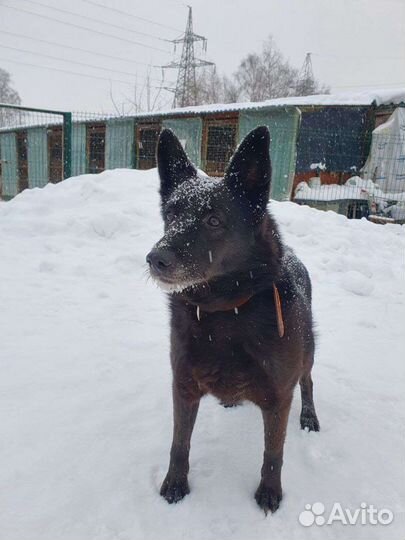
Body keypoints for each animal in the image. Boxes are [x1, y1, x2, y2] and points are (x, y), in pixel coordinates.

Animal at [146, 127, 318, 516]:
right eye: (171, 213)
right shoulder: (183, 385)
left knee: (308, 382)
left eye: (213, 220)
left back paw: (309, 417)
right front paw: (175, 484)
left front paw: (270, 492)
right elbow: (179, 443)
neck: (224, 312)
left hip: (308, 356)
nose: (155, 259)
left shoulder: (279, 396)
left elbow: (274, 452)